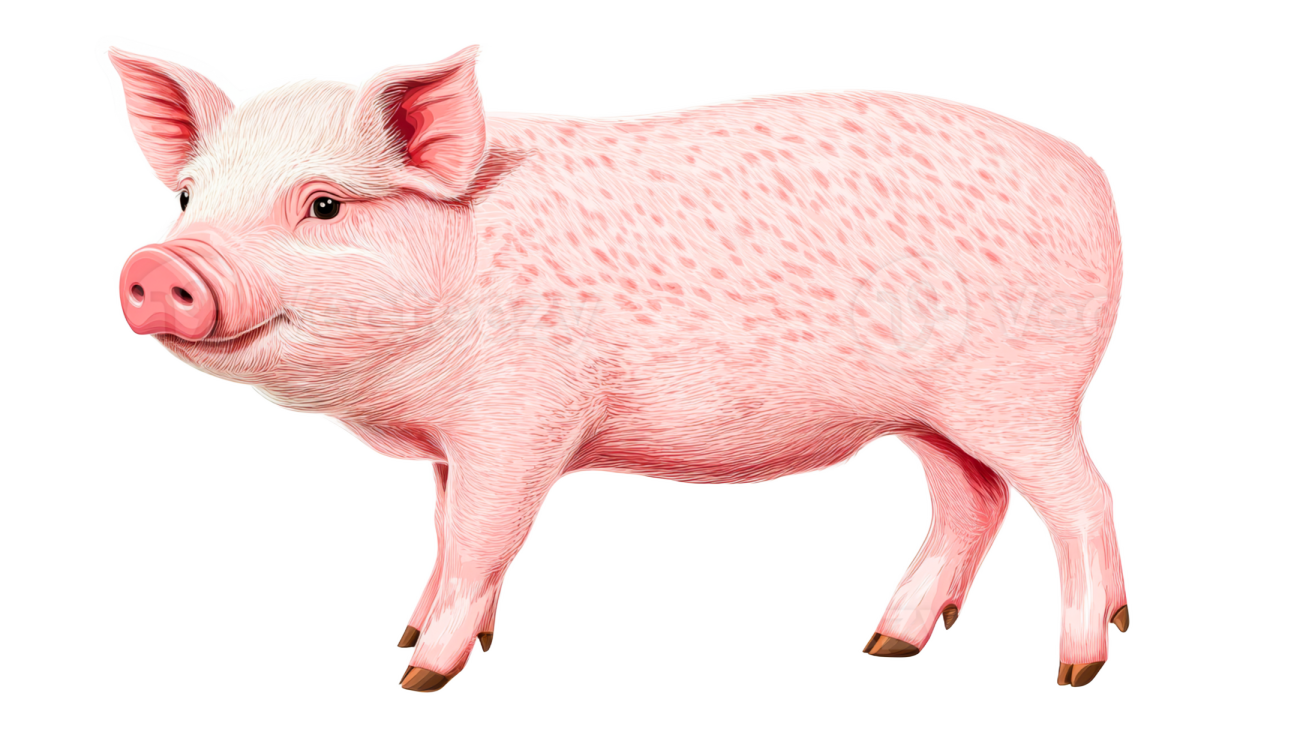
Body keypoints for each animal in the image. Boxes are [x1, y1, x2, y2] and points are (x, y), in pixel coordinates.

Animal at [104, 39, 1141, 695]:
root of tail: (1088, 160)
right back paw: (887, 643)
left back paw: (1079, 663)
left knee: (1085, 497)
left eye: (323, 205)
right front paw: (407, 632)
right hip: (935, 414)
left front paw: (420, 668)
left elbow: (481, 536)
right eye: (188, 196)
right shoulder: (451, 445)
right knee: (974, 500)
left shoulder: (520, 418)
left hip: (1026, 390)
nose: (156, 269)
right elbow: (442, 532)